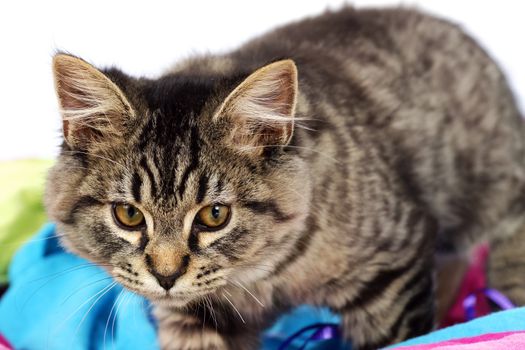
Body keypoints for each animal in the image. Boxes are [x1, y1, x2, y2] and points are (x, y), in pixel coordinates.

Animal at [44, 6, 524, 350]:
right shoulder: (197, 317)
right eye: (128, 214)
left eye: (215, 215)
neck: (259, 277)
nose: (165, 276)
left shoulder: (391, 272)